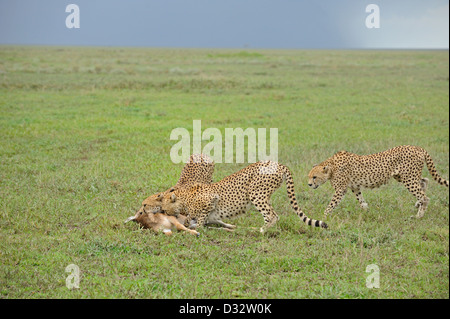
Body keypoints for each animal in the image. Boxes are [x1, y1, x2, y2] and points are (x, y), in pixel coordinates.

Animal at [161, 161, 326, 234]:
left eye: (164, 209)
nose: (162, 212)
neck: (183, 197)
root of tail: (277, 163)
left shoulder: (211, 199)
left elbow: (200, 219)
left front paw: (197, 226)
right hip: (264, 196)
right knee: (273, 214)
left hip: (256, 193)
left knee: (272, 216)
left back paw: (259, 230)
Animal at [308, 146, 448, 219]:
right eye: (309, 176)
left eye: (314, 177)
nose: (309, 184)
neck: (331, 166)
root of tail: (417, 147)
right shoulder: (355, 187)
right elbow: (361, 201)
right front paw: (367, 212)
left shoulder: (341, 189)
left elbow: (331, 204)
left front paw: (323, 216)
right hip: (404, 176)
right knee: (424, 181)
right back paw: (418, 204)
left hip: (408, 178)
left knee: (425, 196)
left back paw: (419, 215)